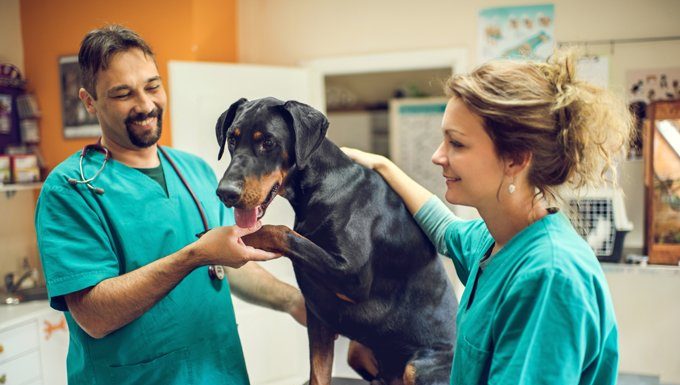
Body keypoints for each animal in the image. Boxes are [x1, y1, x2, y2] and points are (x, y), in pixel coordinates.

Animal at [215, 97, 454, 384]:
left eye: (268, 142)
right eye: (231, 138)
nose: (225, 193)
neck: (322, 186)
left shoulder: (352, 274)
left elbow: (282, 231)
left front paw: (244, 235)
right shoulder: (319, 317)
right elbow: (318, 374)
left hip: (418, 366)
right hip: (357, 349)